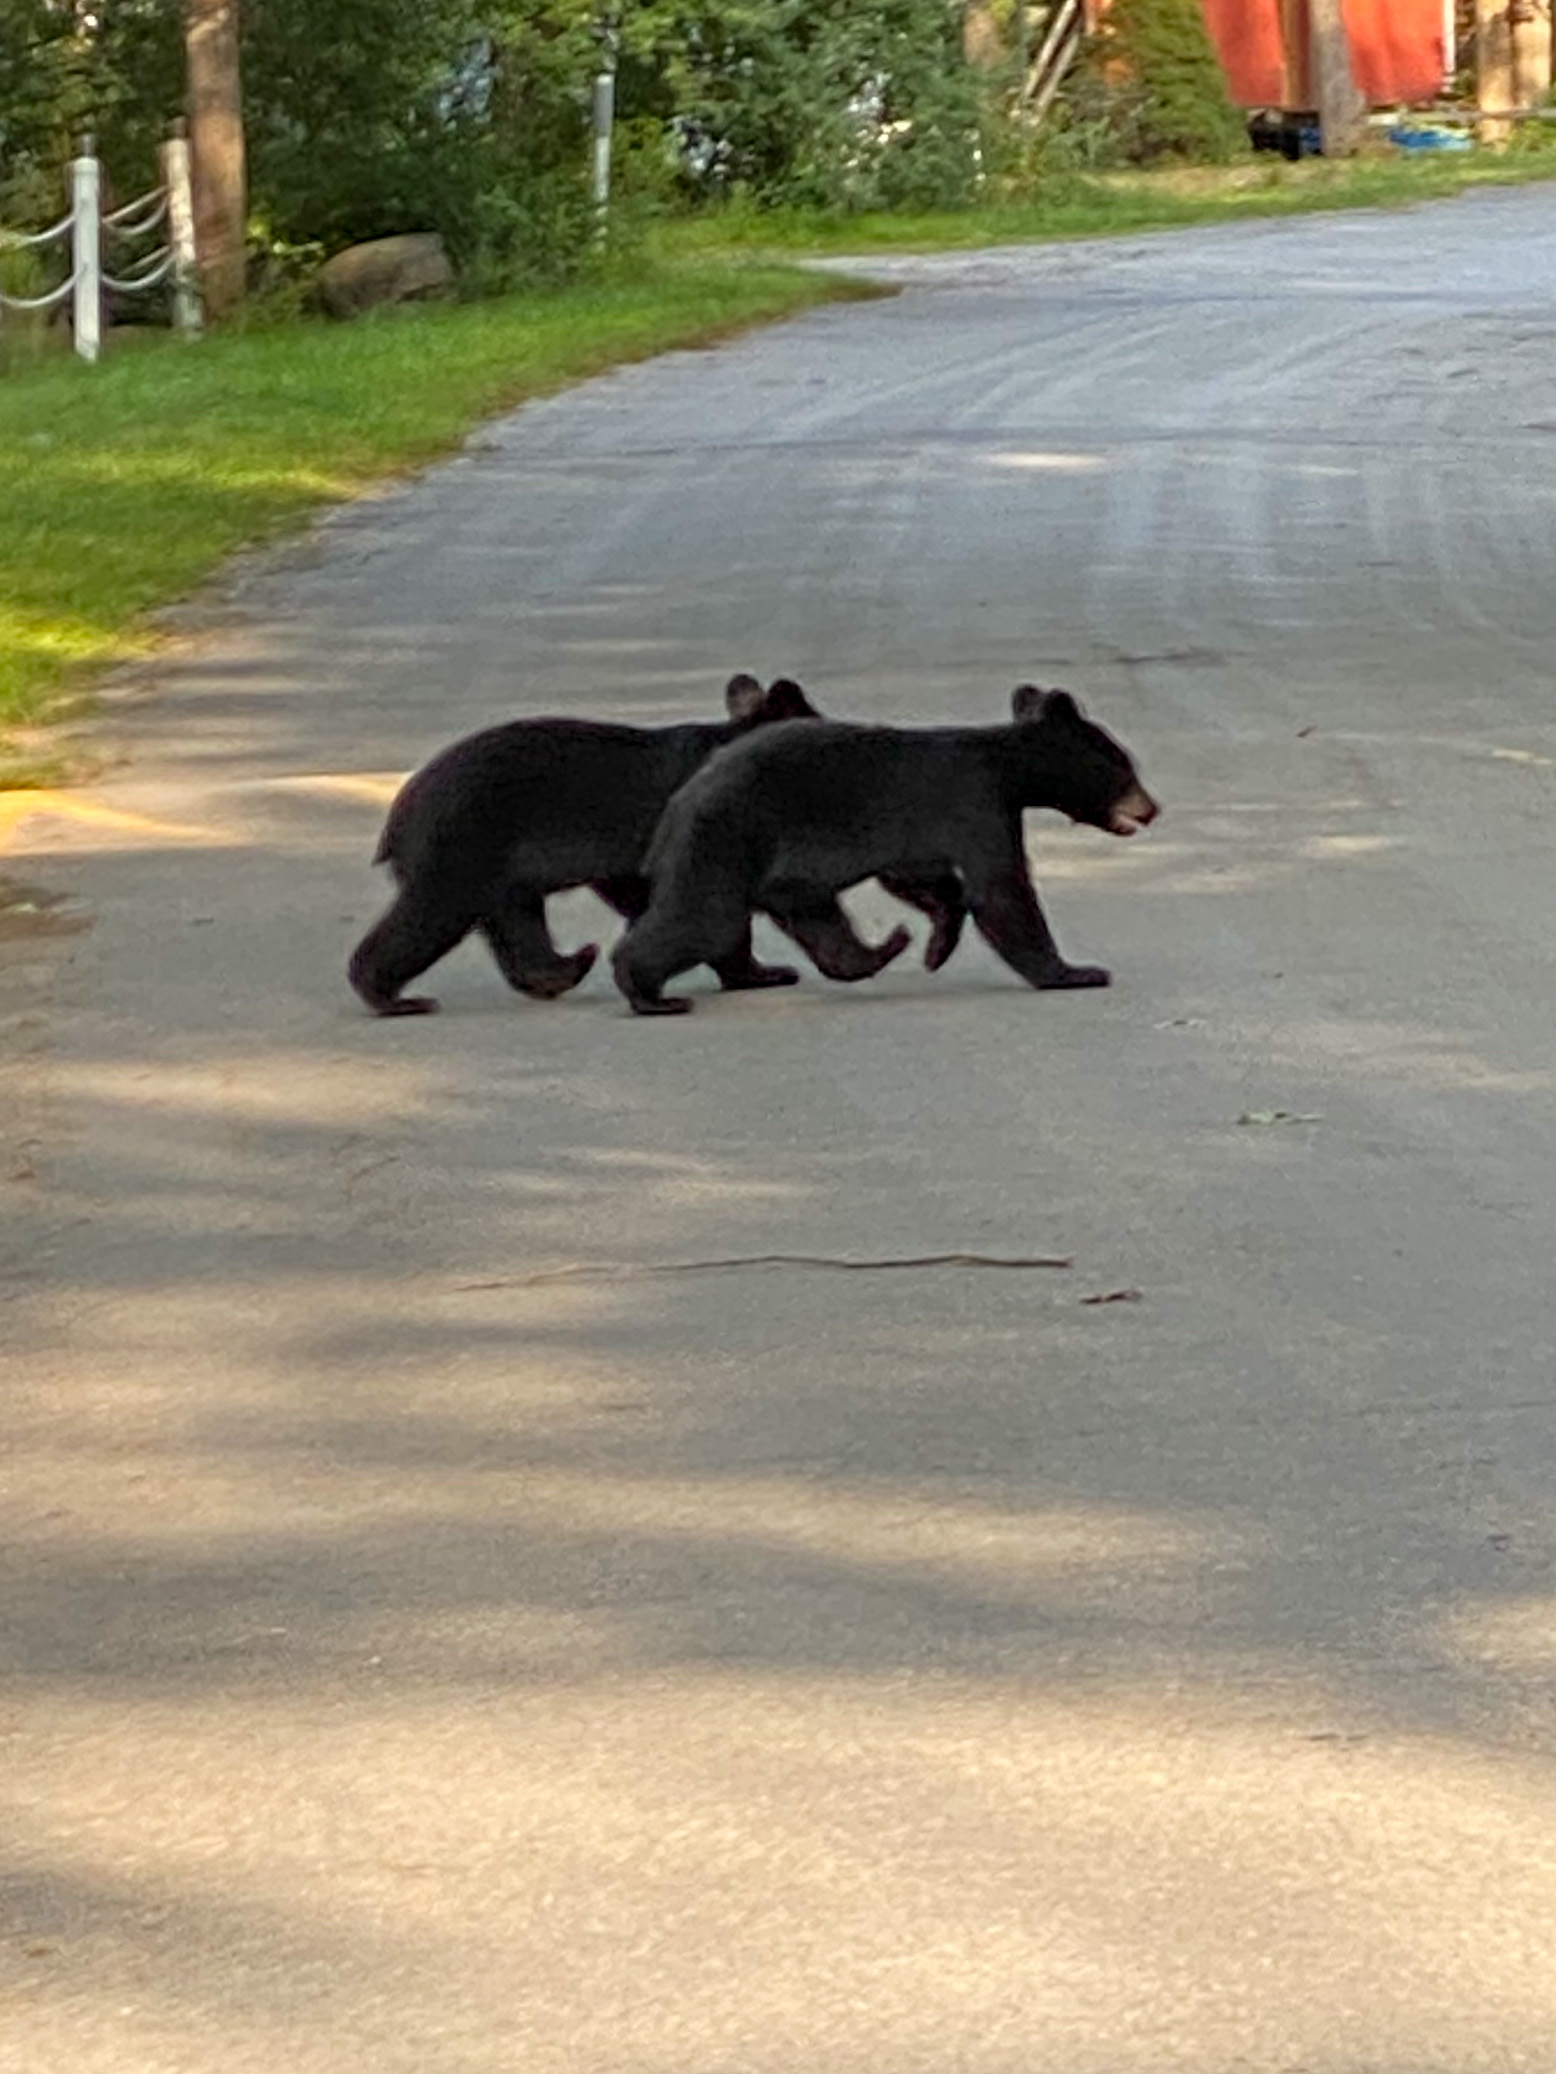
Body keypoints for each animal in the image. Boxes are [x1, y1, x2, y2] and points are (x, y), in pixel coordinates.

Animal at [609, 688, 1161, 1020]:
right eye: (1126, 766)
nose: (1153, 807)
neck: (1008, 768)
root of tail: (682, 801)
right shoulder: (975, 803)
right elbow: (1001, 888)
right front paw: (1076, 973)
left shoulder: (921, 833)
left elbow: (925, 879)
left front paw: (938, 946)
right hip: (725, 840)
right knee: (707, 919)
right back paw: (646, 992)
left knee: (810, 919)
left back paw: (880, 950)